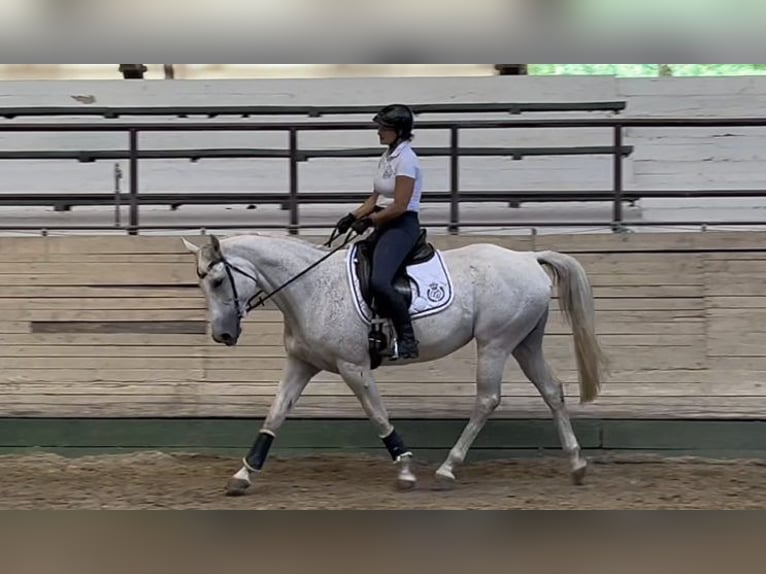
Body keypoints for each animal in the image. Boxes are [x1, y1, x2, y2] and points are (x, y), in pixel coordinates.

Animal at [181, 230, 607, 496]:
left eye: (216, 281)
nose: (222, 336)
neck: (311, 288)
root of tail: (527, 257)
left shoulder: (353, 366)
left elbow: (378, 414)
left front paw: (404, 469)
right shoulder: (301, 364)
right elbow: (274, 415)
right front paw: (243, 474)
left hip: (496, 343)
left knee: (487, 400)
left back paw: (447, 469)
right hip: (524, 343)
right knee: (552, 390)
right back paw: (577, 464)